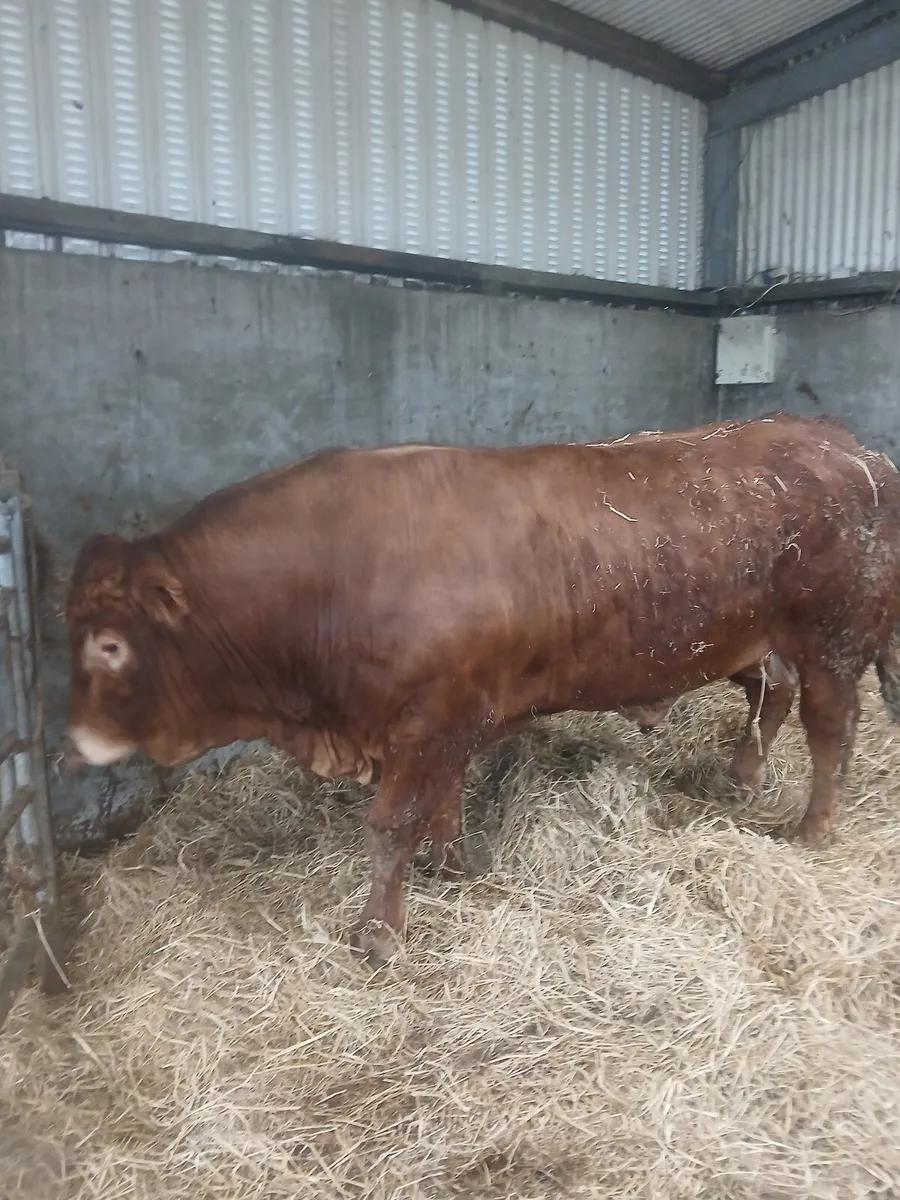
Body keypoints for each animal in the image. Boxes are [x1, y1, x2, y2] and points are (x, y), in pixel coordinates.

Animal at [64, 413, 900, 966]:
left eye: (110, 645)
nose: (75, 741)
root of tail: (850, 446)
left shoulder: (430, 720)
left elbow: (392, 825)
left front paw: (378, 934)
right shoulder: (446, 720)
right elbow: (443, 800)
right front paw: (449, 864)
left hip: (833, 640)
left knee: (832, 728)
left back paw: (813, 826)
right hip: (756, 640)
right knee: (770, 696)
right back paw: (741, 776)